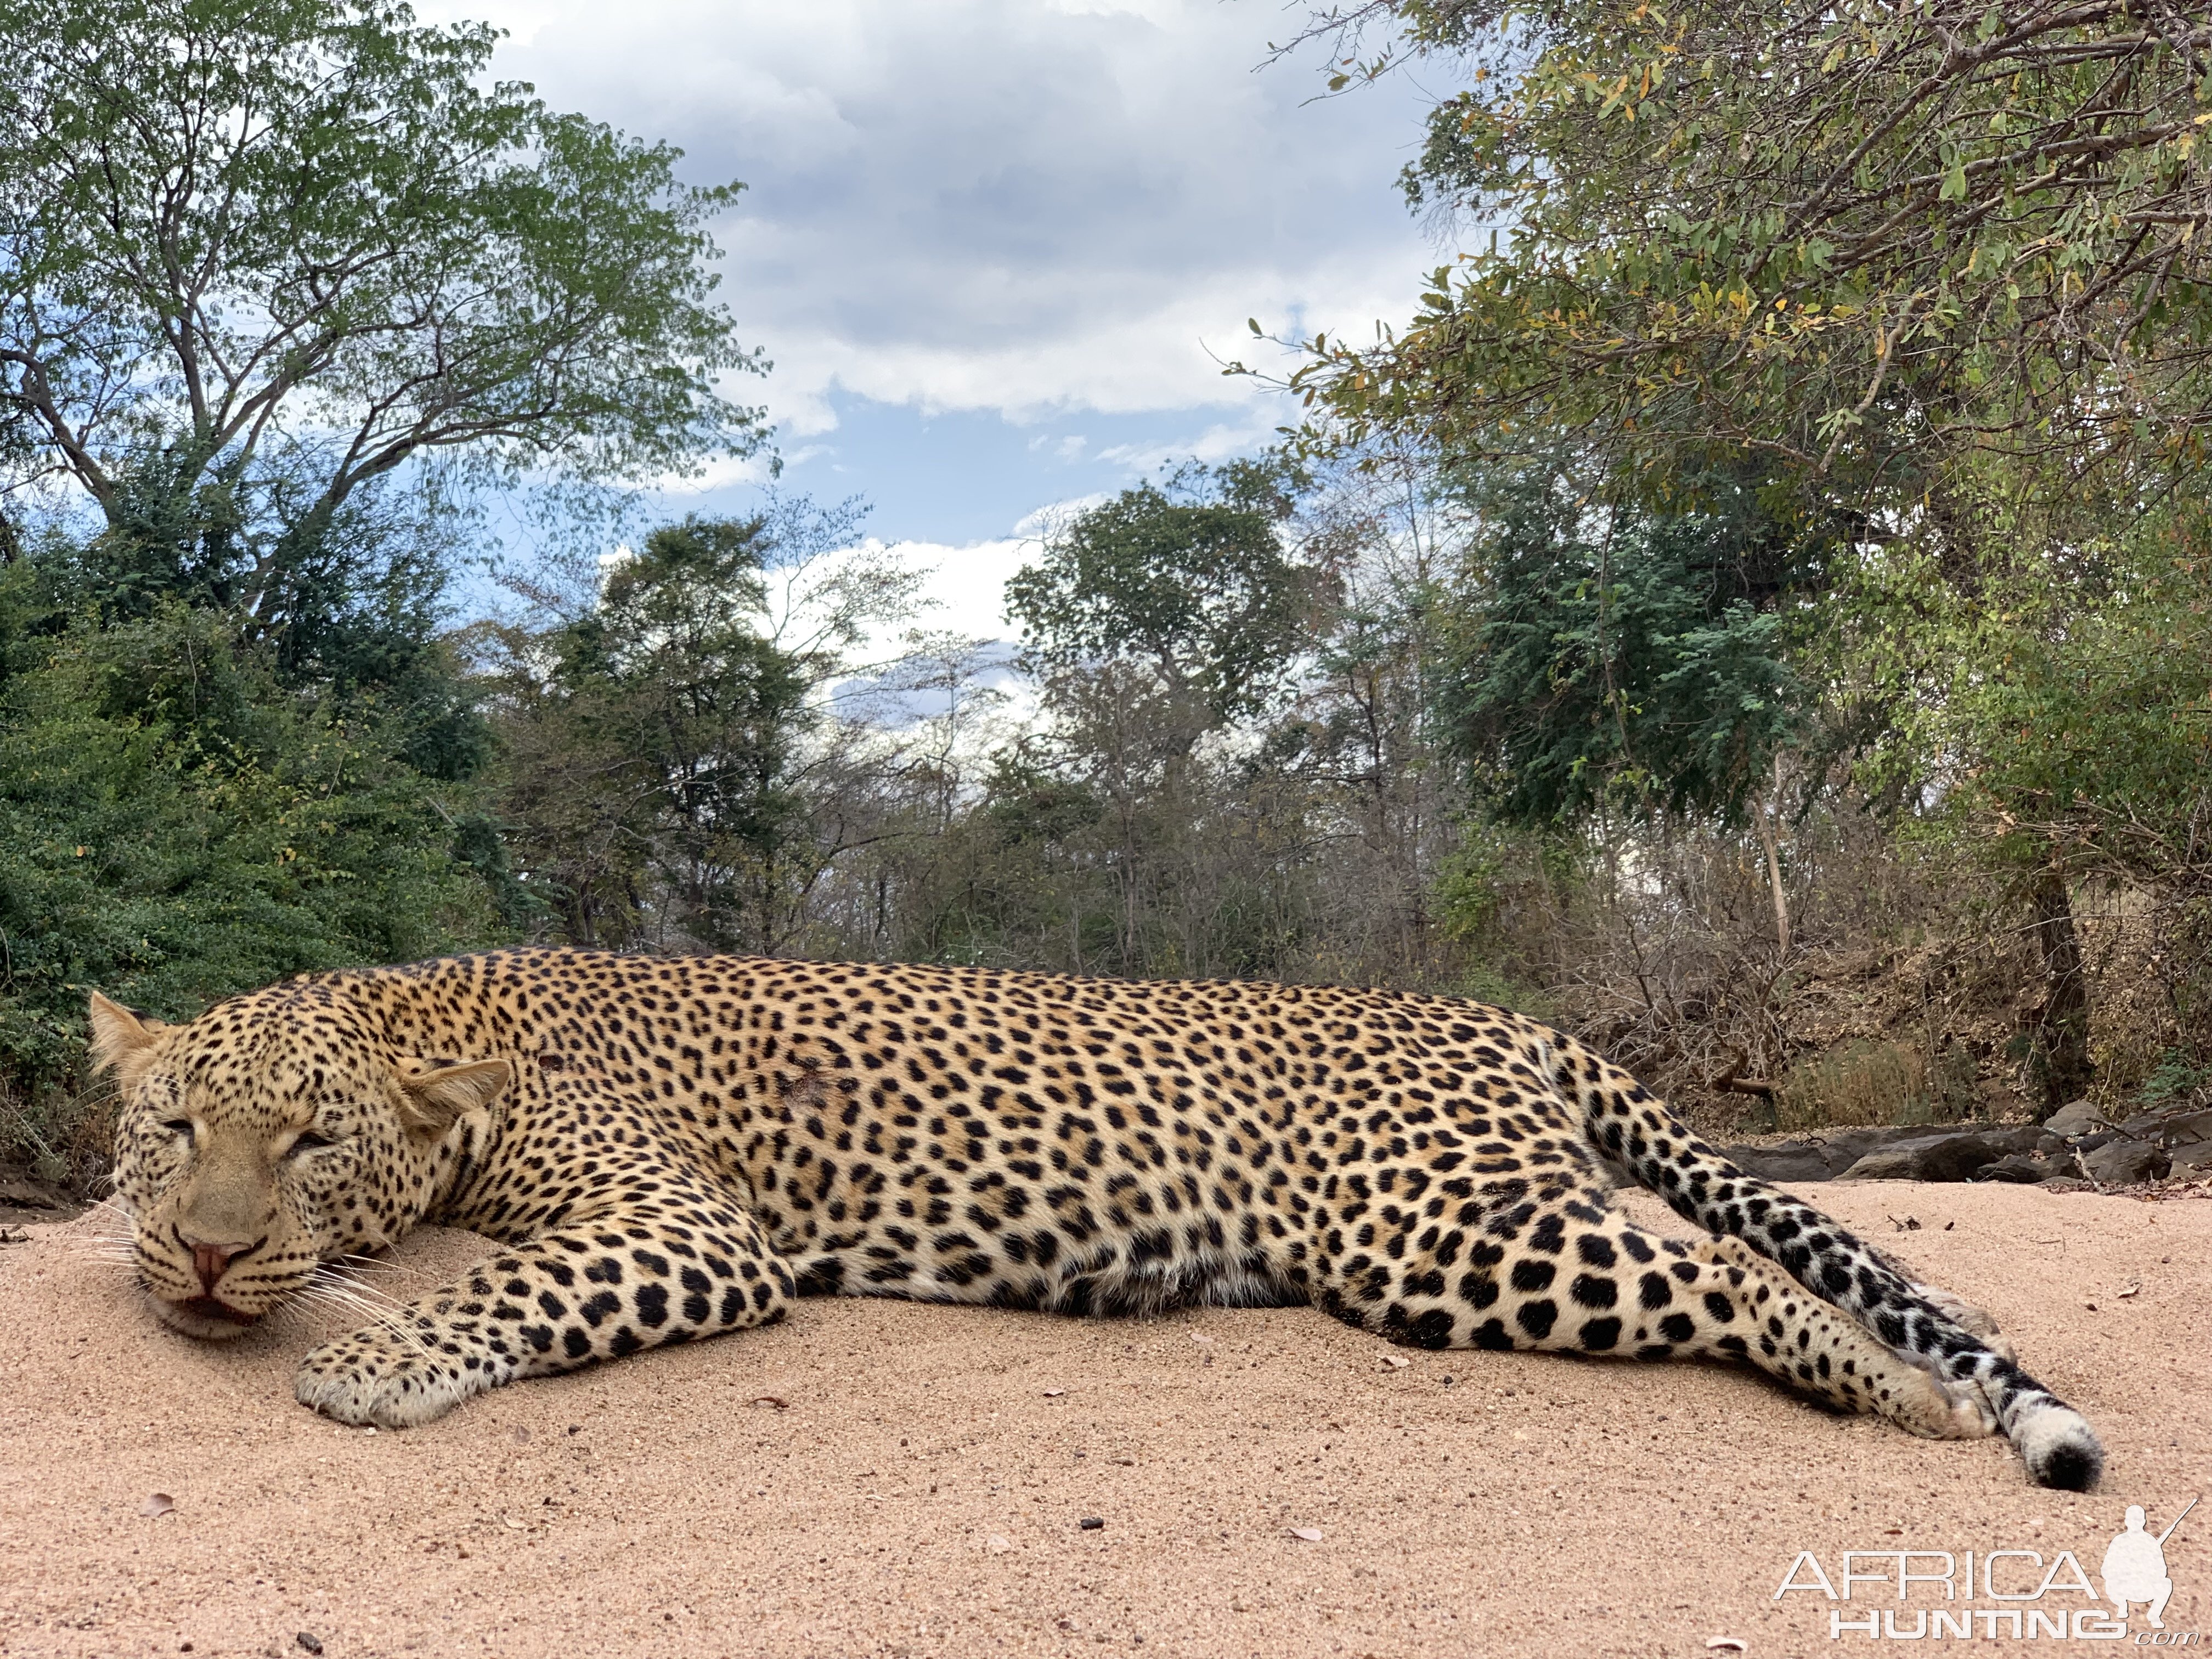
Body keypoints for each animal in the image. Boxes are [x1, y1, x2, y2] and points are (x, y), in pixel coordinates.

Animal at [82, 946, 2106, 1495]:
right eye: (170, 1130)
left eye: (308, 1145)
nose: (208, 1253)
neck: (449, 1026)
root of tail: (1504, 1014)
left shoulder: (686, 1223)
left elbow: (525, 1282)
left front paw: (374, 1361)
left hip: (1440, 1224)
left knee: (1735, 1265)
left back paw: (1889, 1389)